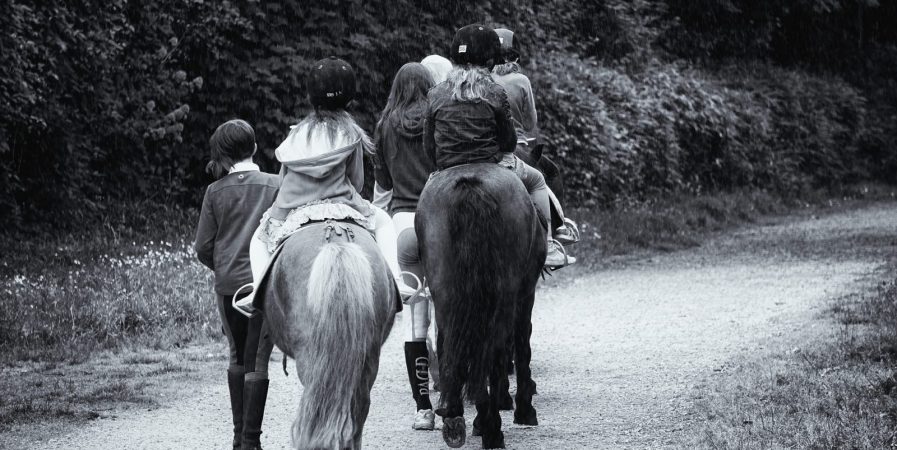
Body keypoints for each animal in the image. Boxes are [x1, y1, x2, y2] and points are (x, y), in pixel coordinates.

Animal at [414, 163, 544, 448]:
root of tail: (470, 185)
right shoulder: (525, 295)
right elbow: (522, 346)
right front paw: (523, 409)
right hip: (504, 296)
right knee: (494, 351)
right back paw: (491, 428)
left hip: (445, 294)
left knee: (449, 345)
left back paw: (454, 417)